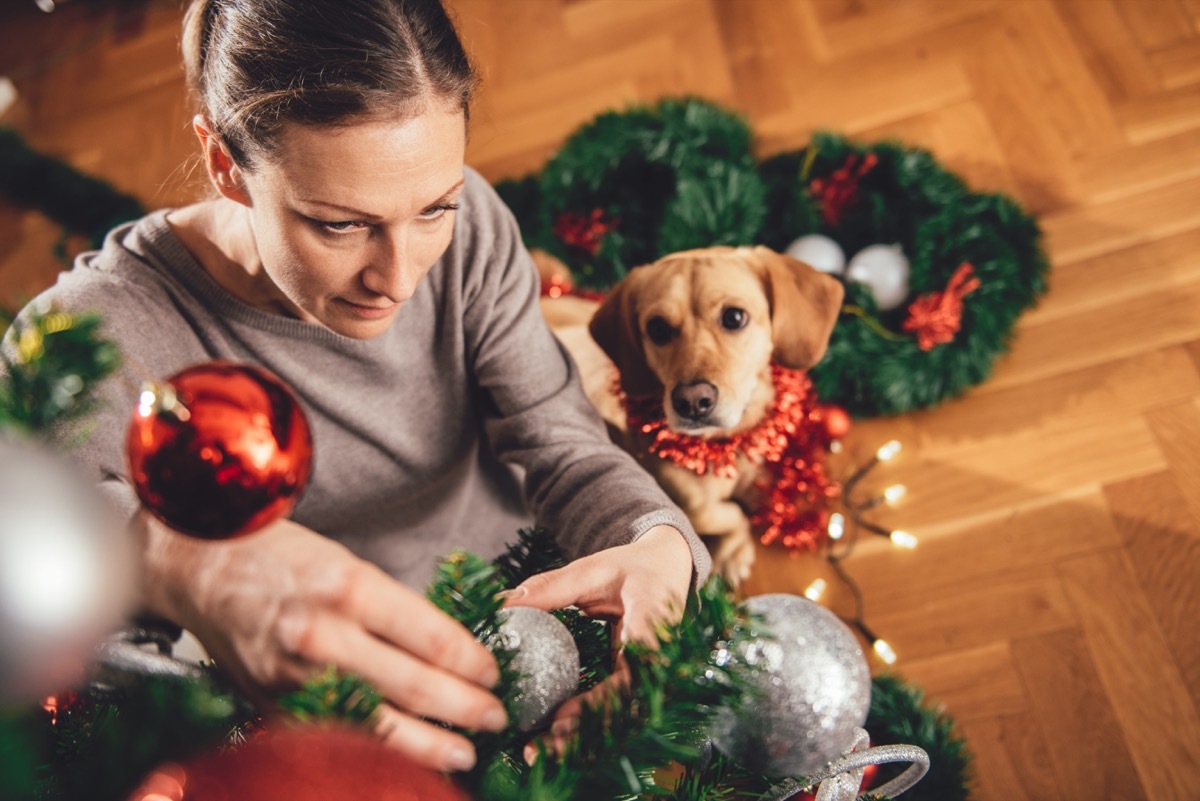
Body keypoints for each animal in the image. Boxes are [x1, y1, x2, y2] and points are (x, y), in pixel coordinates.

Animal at [544, 247, 844, 585]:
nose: (691, 402)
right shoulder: (692, 508)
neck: (727, 446)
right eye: (657, 329)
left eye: (734, 317)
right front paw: (734, 550)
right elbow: (724, 515)